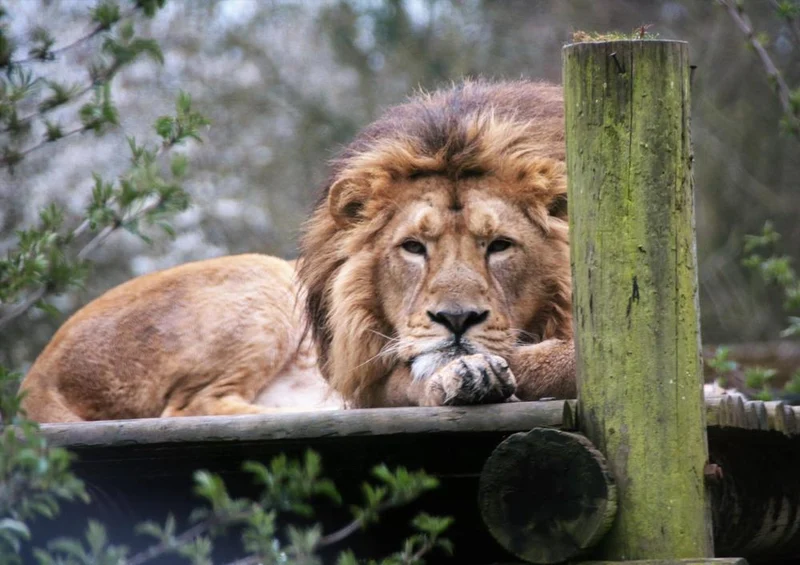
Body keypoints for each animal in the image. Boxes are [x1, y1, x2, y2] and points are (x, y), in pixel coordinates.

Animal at [20, 79, 575, 422]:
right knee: (188, 407)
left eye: (500, 246)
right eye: (413, 248)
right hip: (264, 282)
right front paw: (464, 371)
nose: (455, 320)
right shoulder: (371, 376)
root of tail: (37, 376)